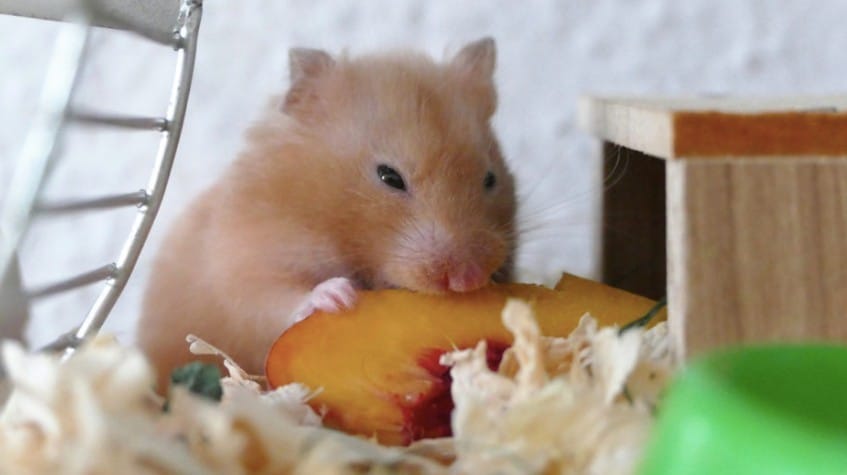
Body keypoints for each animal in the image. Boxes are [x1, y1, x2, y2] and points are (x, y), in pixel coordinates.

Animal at [135, 39, 516, 392]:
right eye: (389, 177)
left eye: (490, 178)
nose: (467, 278)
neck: (335, 225)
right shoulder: (243, 262)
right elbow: (270, 298)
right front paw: (339, 296)